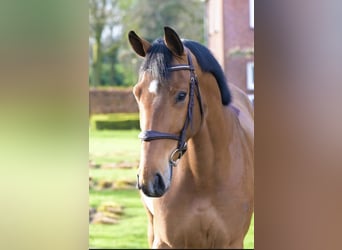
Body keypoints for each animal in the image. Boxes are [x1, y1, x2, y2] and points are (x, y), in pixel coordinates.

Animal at [128, 26, 254, 249]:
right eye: (137, 93)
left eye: (181, 95)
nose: (150, 179)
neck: (204, 177)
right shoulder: (164, 242)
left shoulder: (232, 242)